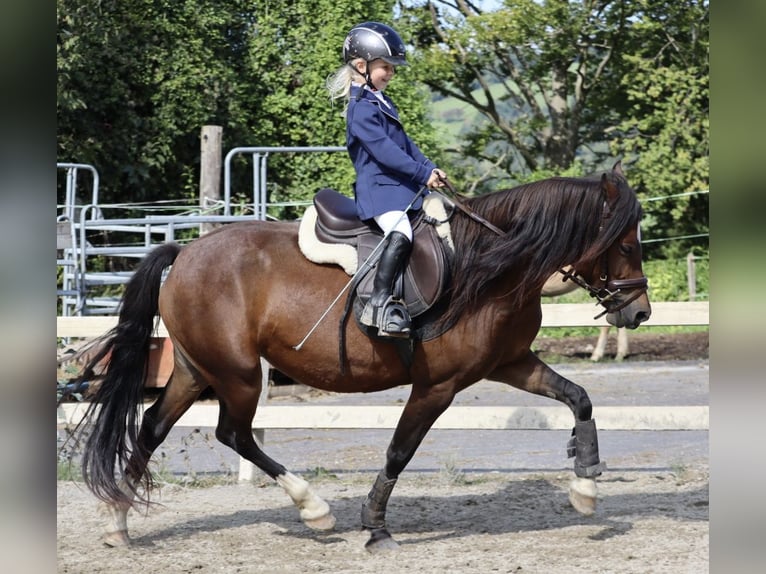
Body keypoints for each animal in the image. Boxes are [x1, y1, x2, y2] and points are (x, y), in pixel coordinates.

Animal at [75, 161, 656, 552]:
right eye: (626, 245)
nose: (640, 312)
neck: (488, 265)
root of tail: (185, 252)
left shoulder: (509, 363)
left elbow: (578, 398)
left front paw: (585, 485)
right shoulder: (438, 387)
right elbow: (400, 451)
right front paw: (375, 527)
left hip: (197, 369)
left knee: (153, 425)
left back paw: (117, 522)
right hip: (236, 374)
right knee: (233, 433)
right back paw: (313, 508)